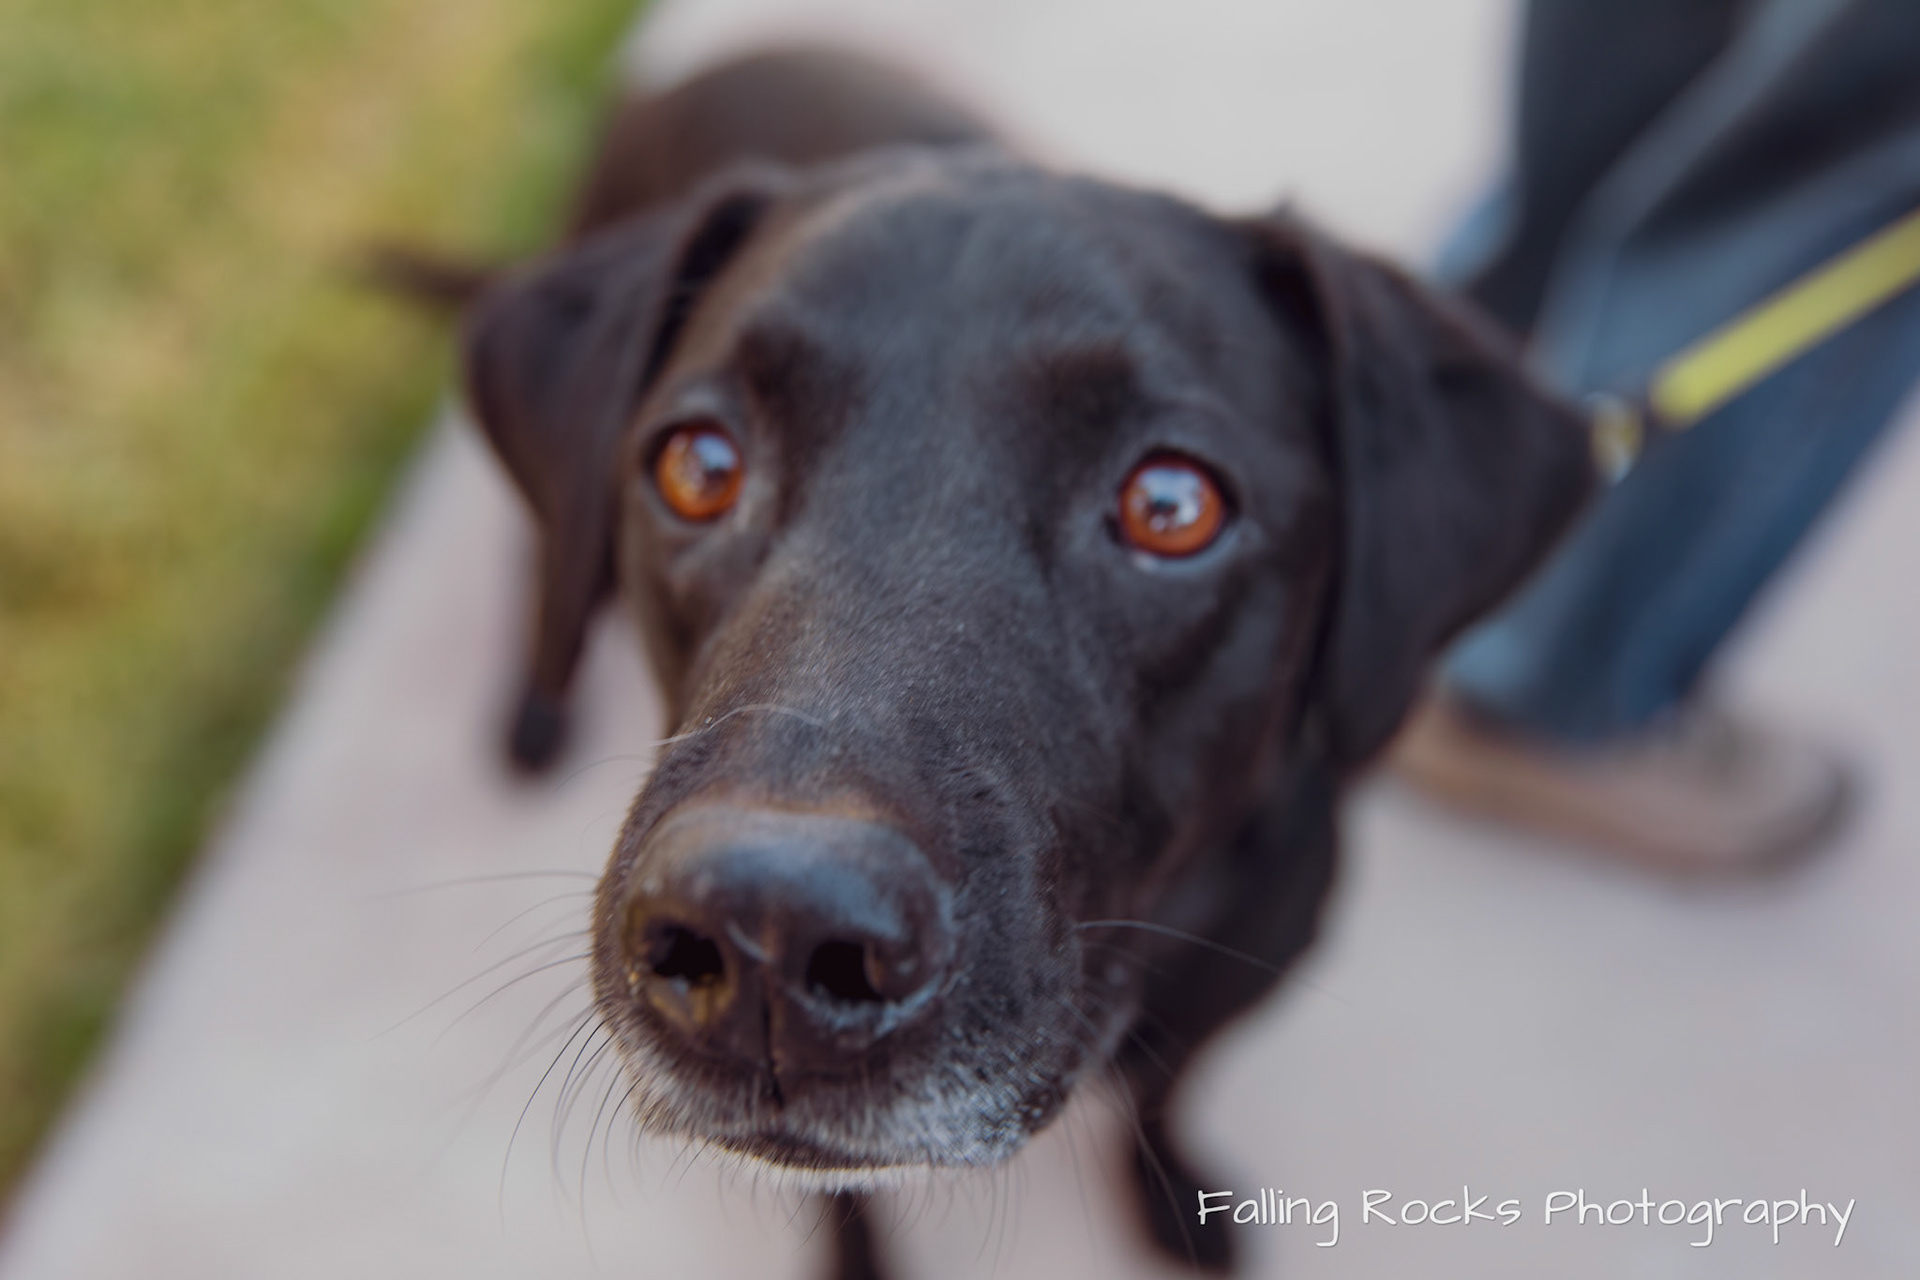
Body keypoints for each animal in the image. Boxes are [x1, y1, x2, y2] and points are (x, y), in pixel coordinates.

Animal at [409, 47, 1592, 1278]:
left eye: (1173, 506)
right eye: (700, 467)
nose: (767, 928)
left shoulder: (1236, 980)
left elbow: (1166, 1089)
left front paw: (1174, 1196)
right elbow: (845, 1192)